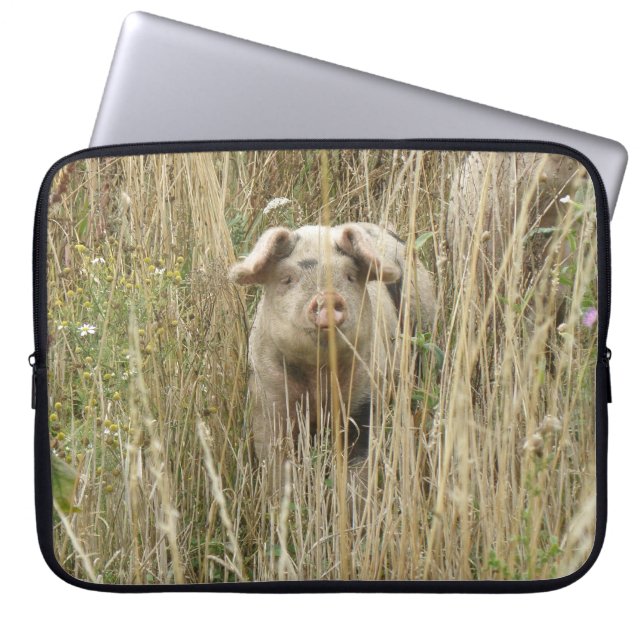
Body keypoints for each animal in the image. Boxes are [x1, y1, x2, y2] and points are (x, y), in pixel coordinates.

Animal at [229, 222, 436, 493]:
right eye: (287, 278)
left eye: (349, 276)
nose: (327, 297)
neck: (318, 375)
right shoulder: (267, 399)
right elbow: (276, 463)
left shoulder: (366, 396)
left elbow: (358, 467)